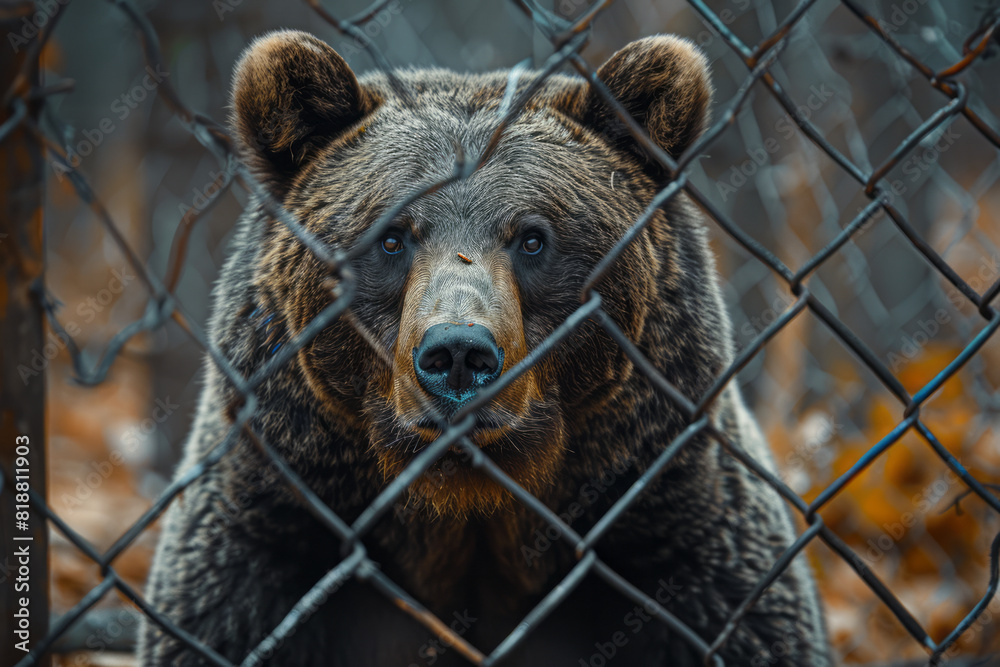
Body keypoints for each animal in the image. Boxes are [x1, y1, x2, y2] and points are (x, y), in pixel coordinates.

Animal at [139, 29, 832, 667]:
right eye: (392, 237)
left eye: (533, 238)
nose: (458, 355)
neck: (468, 518)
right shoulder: (270, 538)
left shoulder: (680, 541)